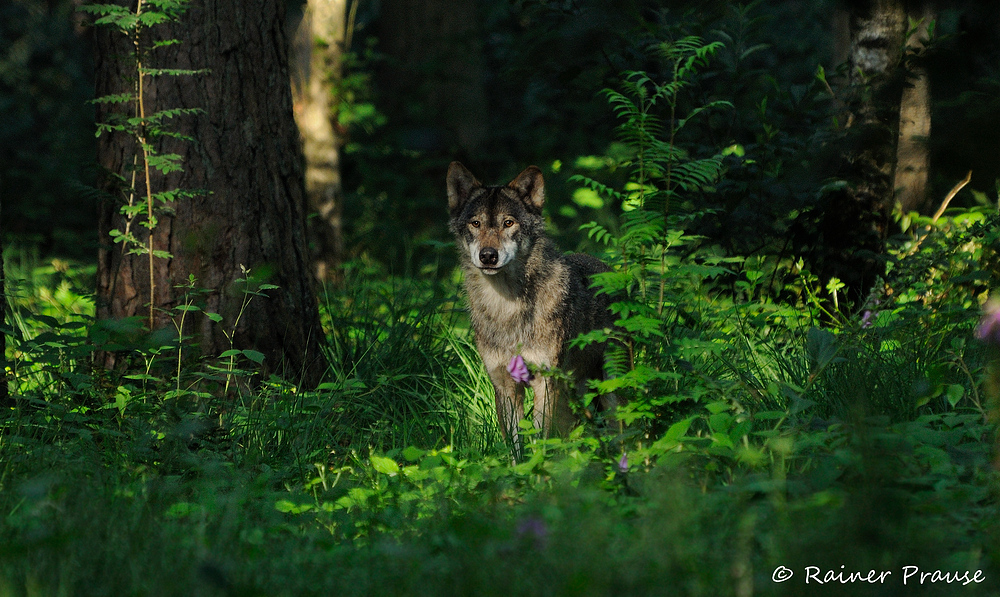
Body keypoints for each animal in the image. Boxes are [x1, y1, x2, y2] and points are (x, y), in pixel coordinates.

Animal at [446, 161, 616, 454]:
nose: (488, 256)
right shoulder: (505, 386)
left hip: (612, 387)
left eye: (508, 223)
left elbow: (539, 443)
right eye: (476, 223)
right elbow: (516, 448)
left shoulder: (544, 384)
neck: (506, 307)